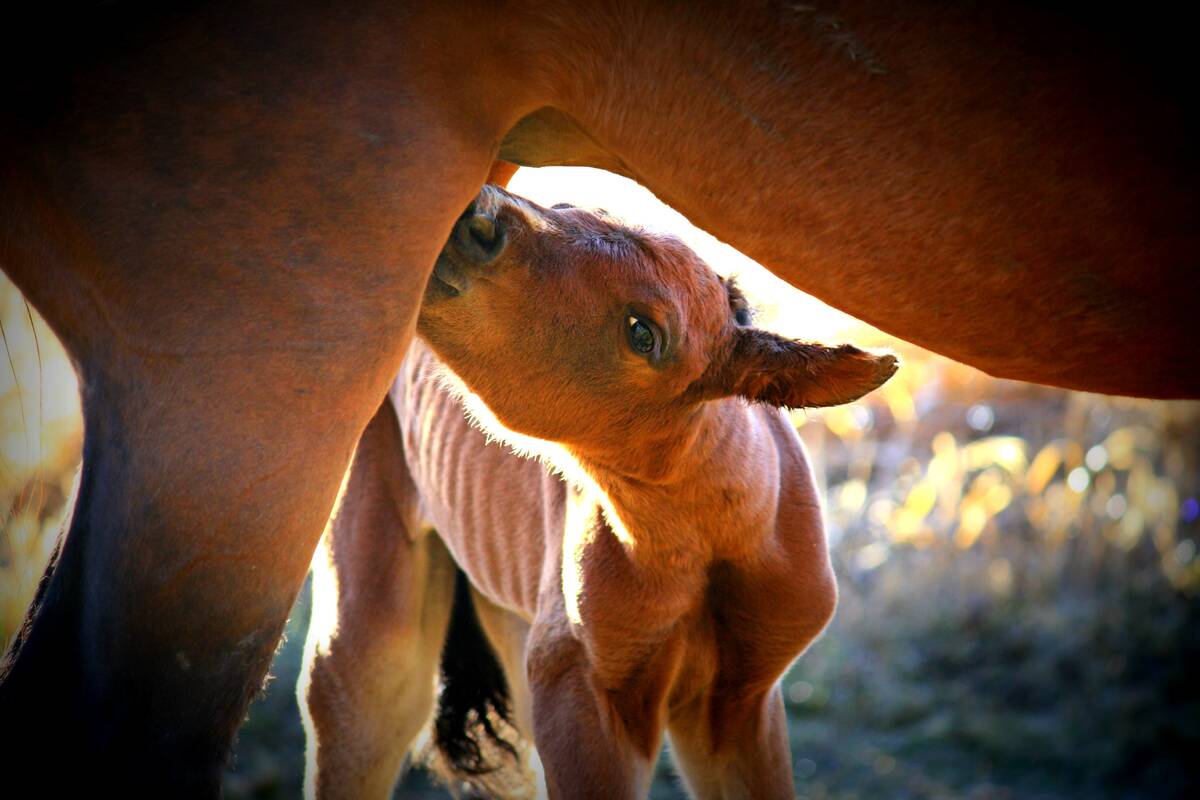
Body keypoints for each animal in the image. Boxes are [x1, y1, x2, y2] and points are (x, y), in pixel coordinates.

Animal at [299, 184, 897, 799]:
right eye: (567, 207)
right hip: (373, 639)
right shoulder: (583, 697)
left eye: (642, 333)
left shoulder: (739, 705)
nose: (478, 217)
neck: (707, 547)